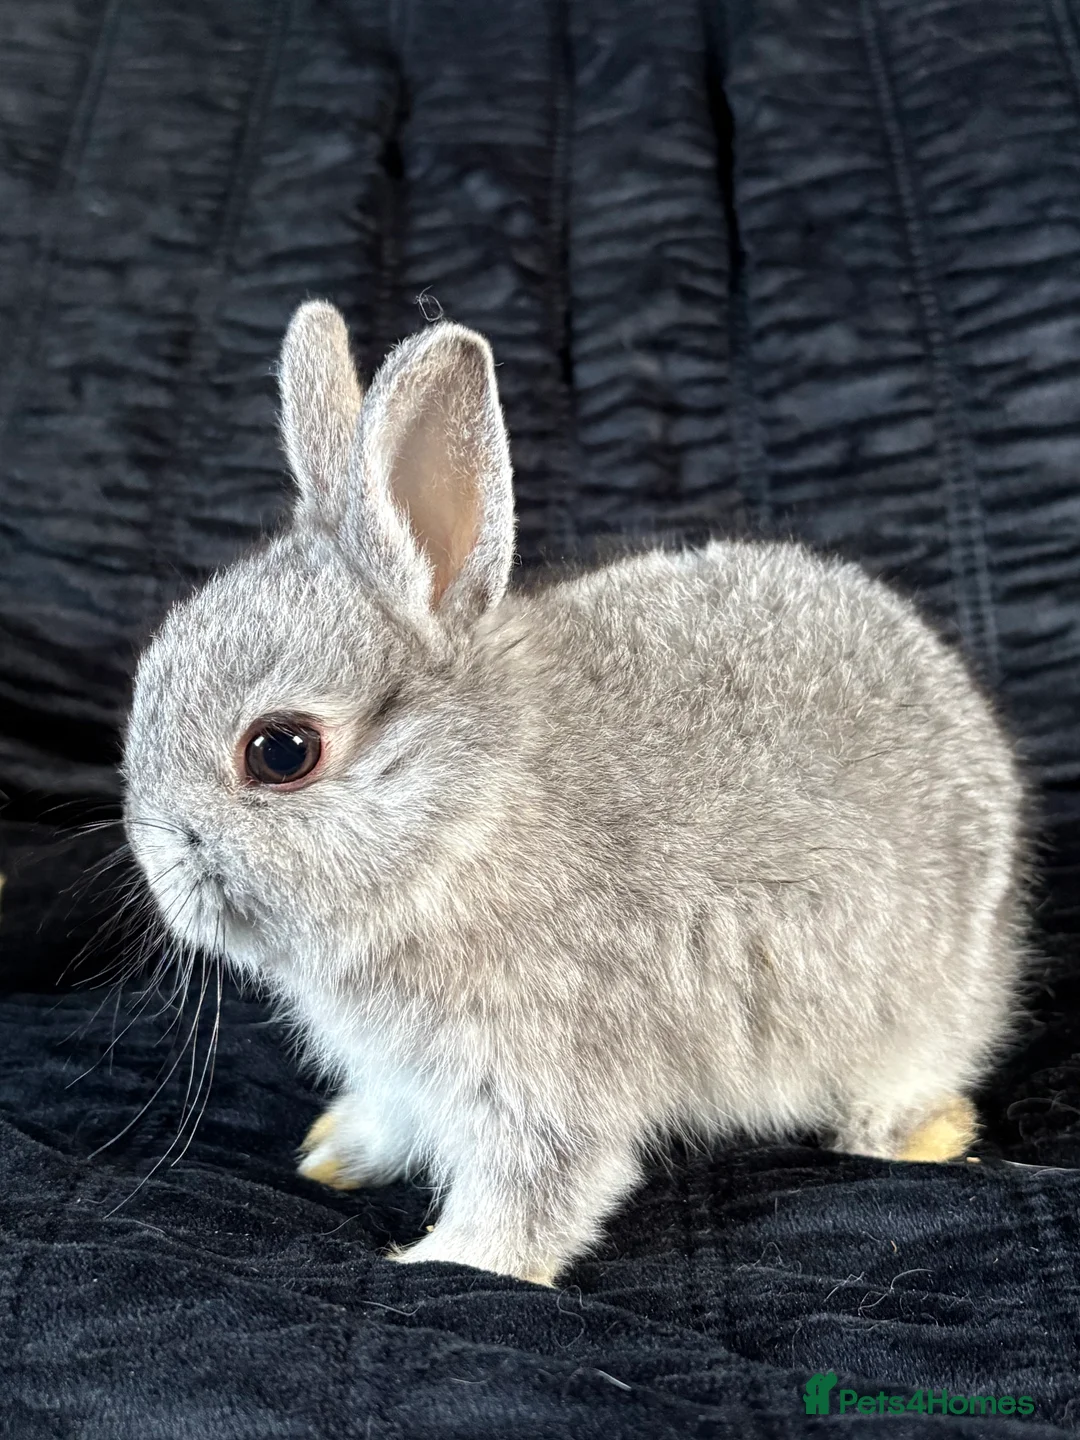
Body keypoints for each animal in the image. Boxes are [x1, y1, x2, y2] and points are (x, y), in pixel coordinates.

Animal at [122, 299, 1027, 1287]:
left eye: (280, 752)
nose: (163, 878)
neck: (461, 821)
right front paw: (337, 1154)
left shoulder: (543, 1068)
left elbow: (537, 1186)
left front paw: (447, 1261)